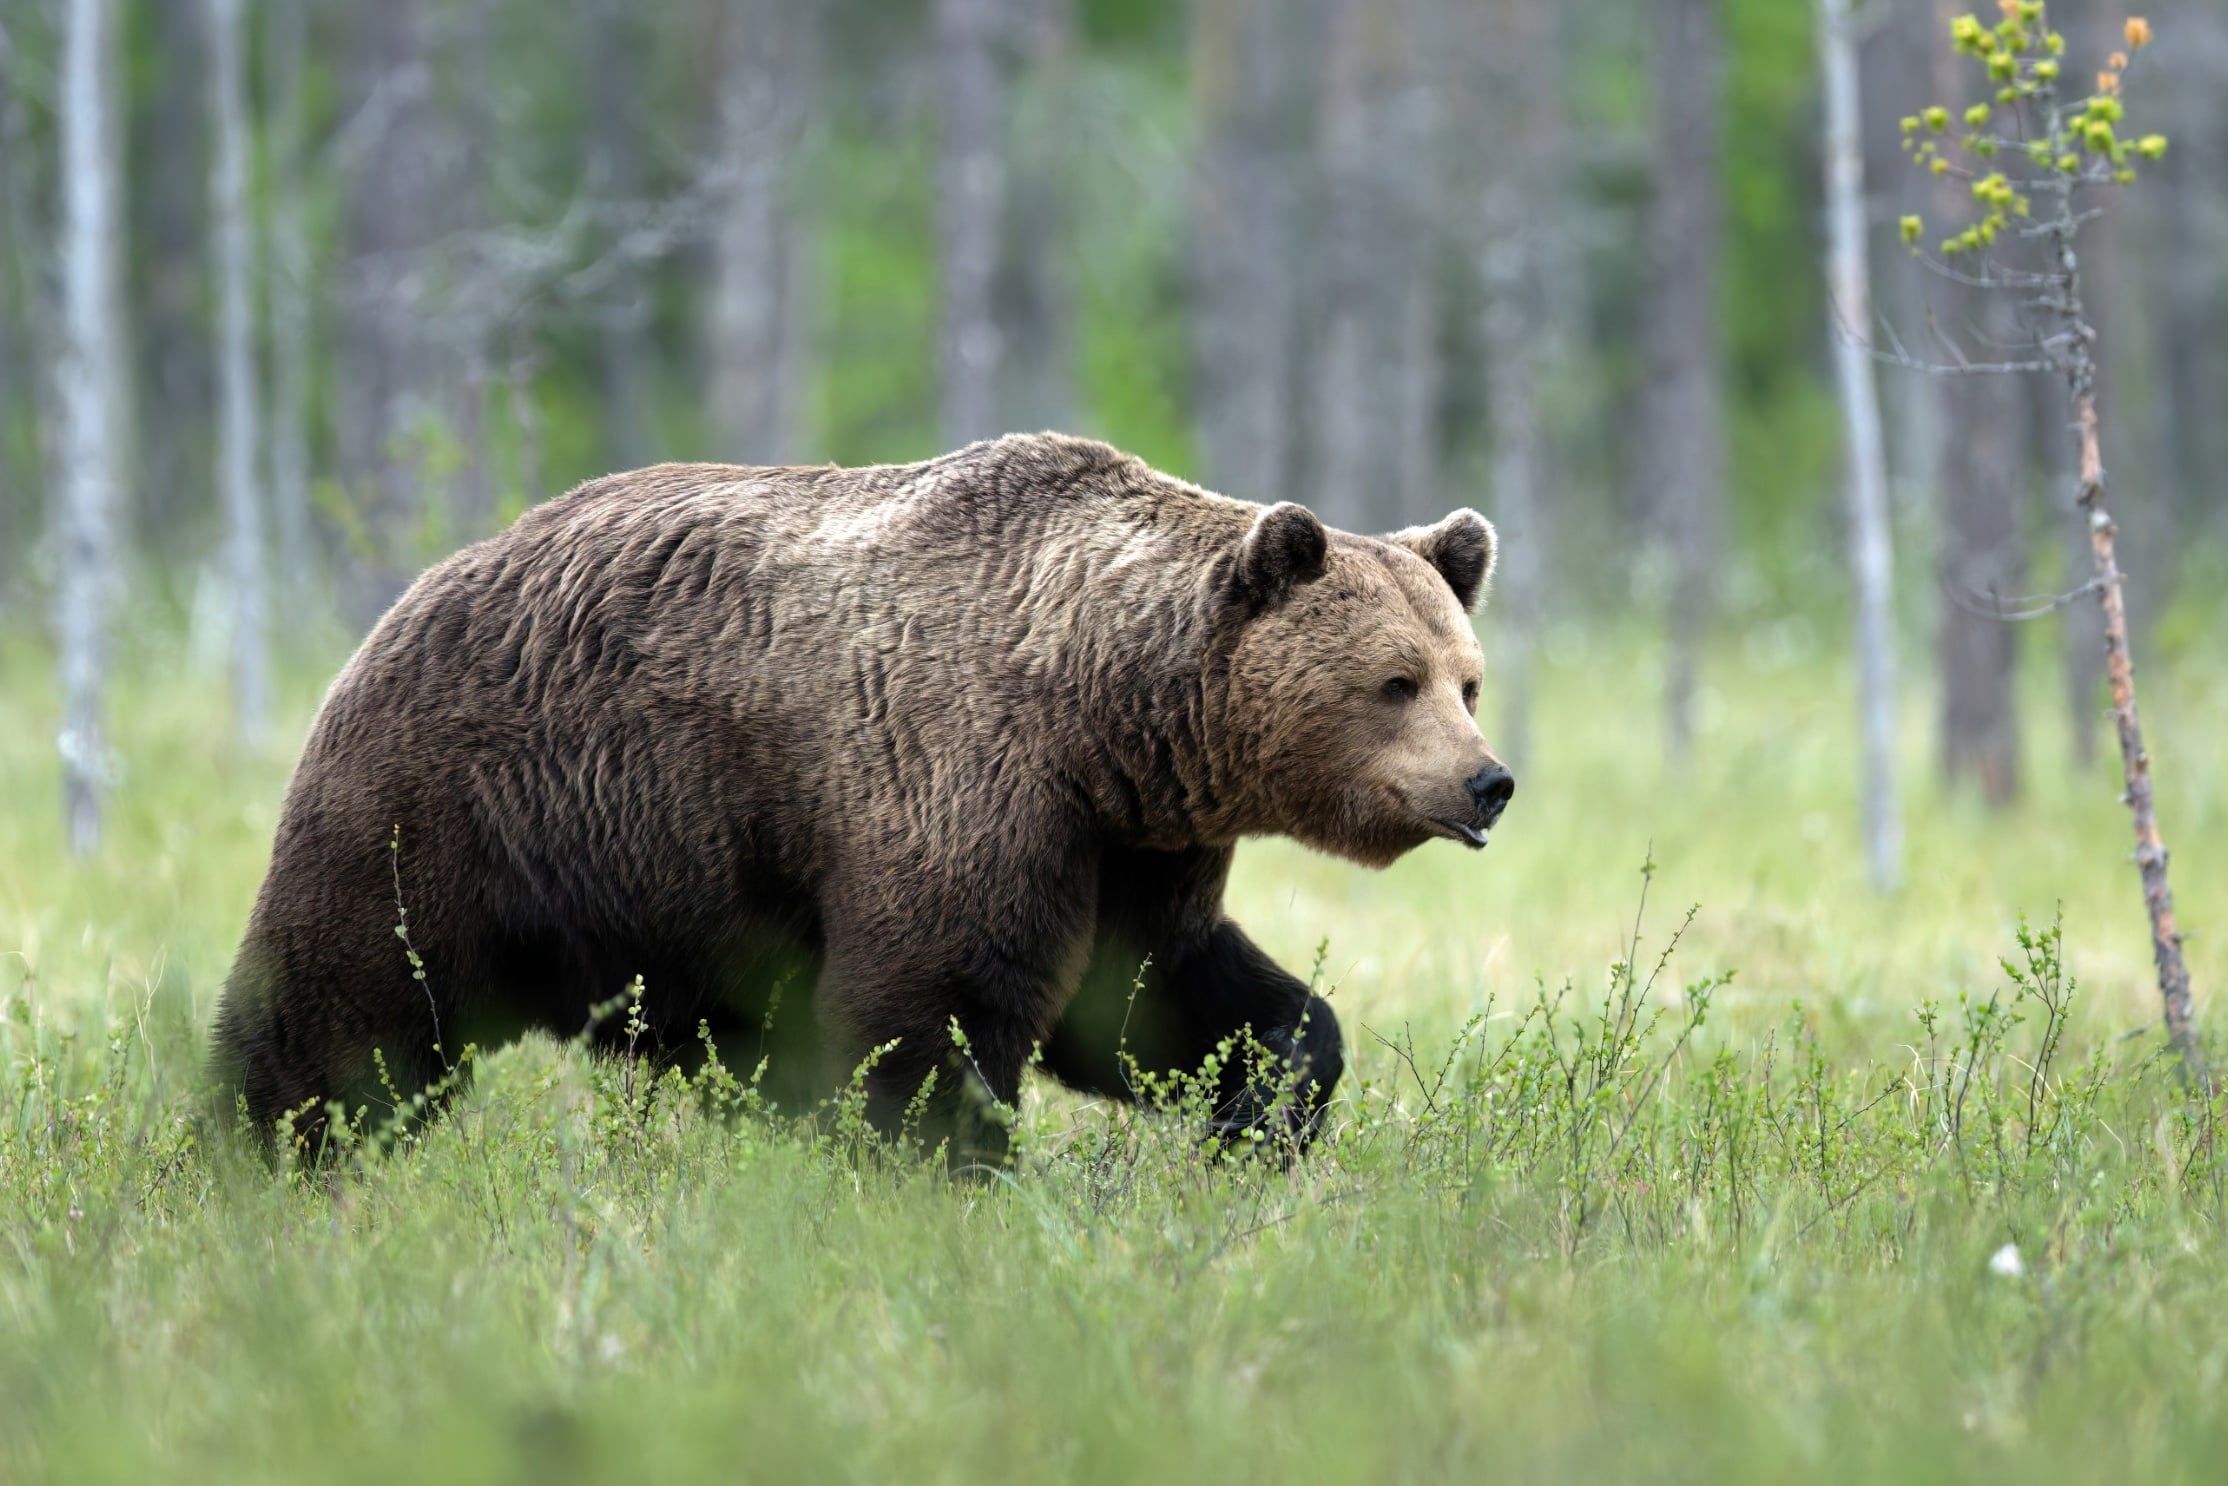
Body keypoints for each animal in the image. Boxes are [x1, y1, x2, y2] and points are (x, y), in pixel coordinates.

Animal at [210, 433, 1514, 1162]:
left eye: (1467, 679)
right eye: (1391, 682)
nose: (1487, 781)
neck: (1105, 710)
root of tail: (419, 587)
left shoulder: (1128, 844)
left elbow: (1156, 995)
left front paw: (1258, 1115)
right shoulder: (959, 775)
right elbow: (932, 1009)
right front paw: (949, 1169)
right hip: (454, 802)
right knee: (348, 1007)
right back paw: (266, 1153)